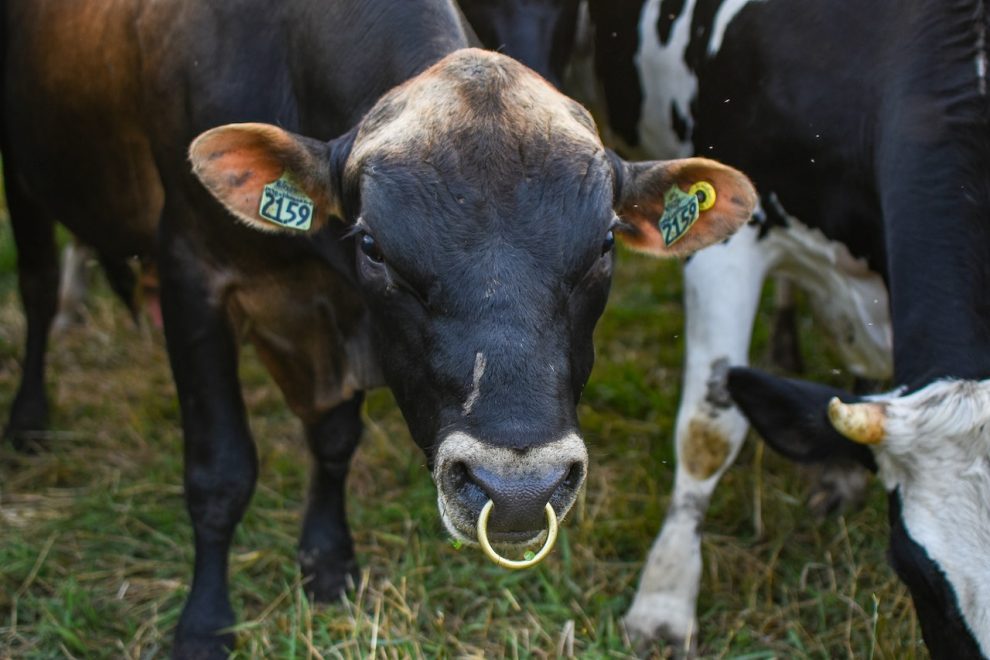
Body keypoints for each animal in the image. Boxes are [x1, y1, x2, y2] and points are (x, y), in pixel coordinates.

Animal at [1, 0, 760, 656]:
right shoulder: (193, 270)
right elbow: (220, 472)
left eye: (605, 243)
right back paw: (29, 418)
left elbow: (335, 439)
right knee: (36, 293)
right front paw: (205, 625)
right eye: (373, 245)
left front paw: (328, 560)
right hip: (25, 181)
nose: (519, 492)